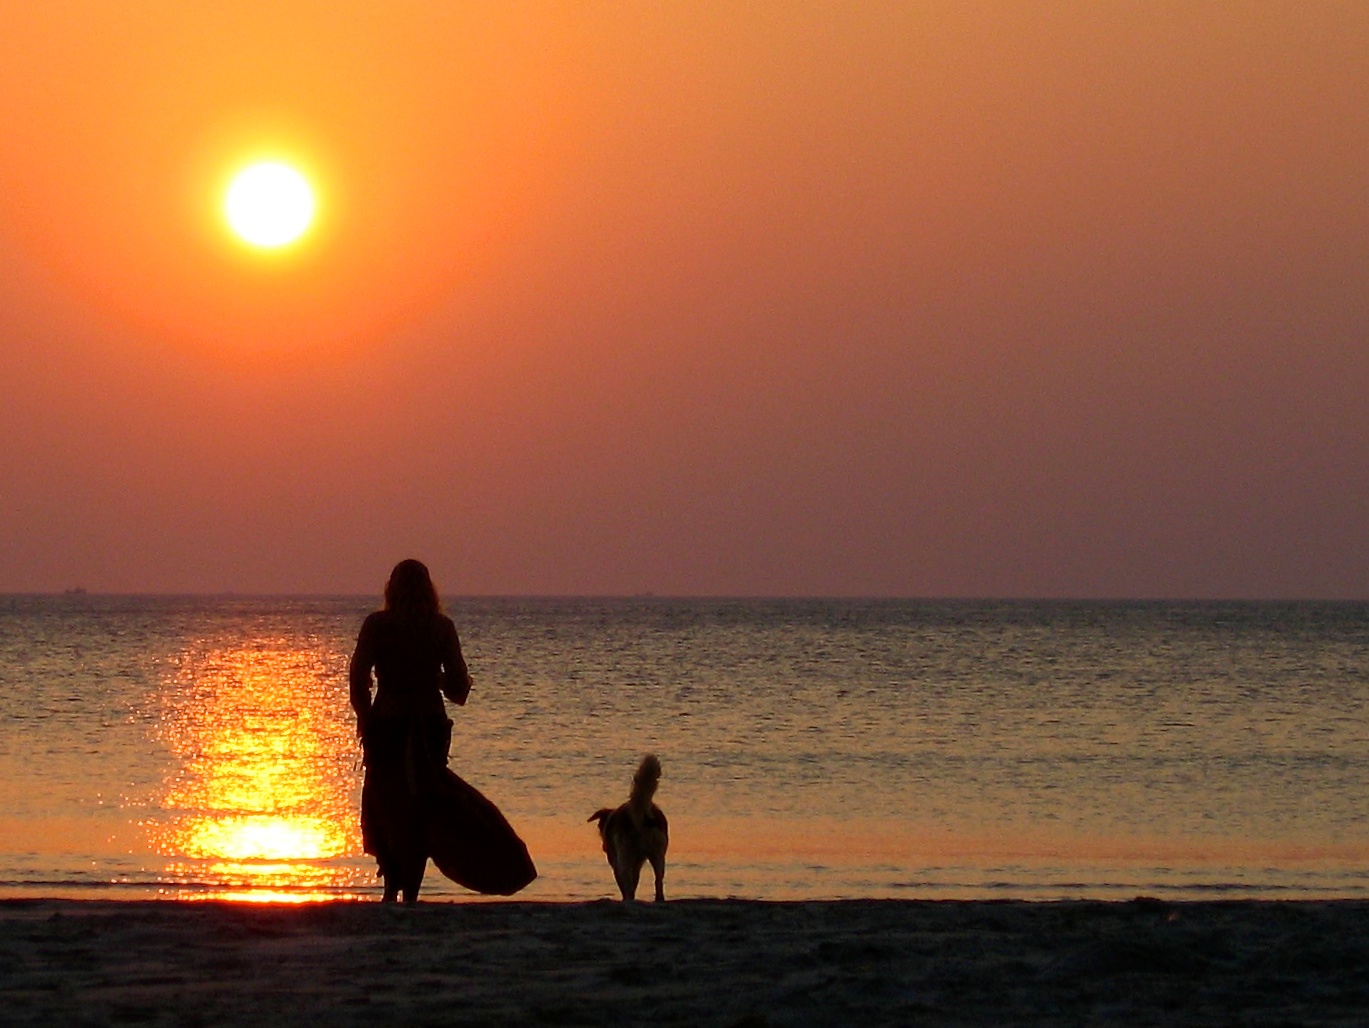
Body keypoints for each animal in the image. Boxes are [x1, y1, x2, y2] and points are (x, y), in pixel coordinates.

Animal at [588, 755, 668, 897]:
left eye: (600, 829)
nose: (603, 847)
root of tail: (643, 813)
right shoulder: (636, 863)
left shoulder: (616, 861)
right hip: (658, 855)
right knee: (658, 880)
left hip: (624, 856)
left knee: (625, 878)